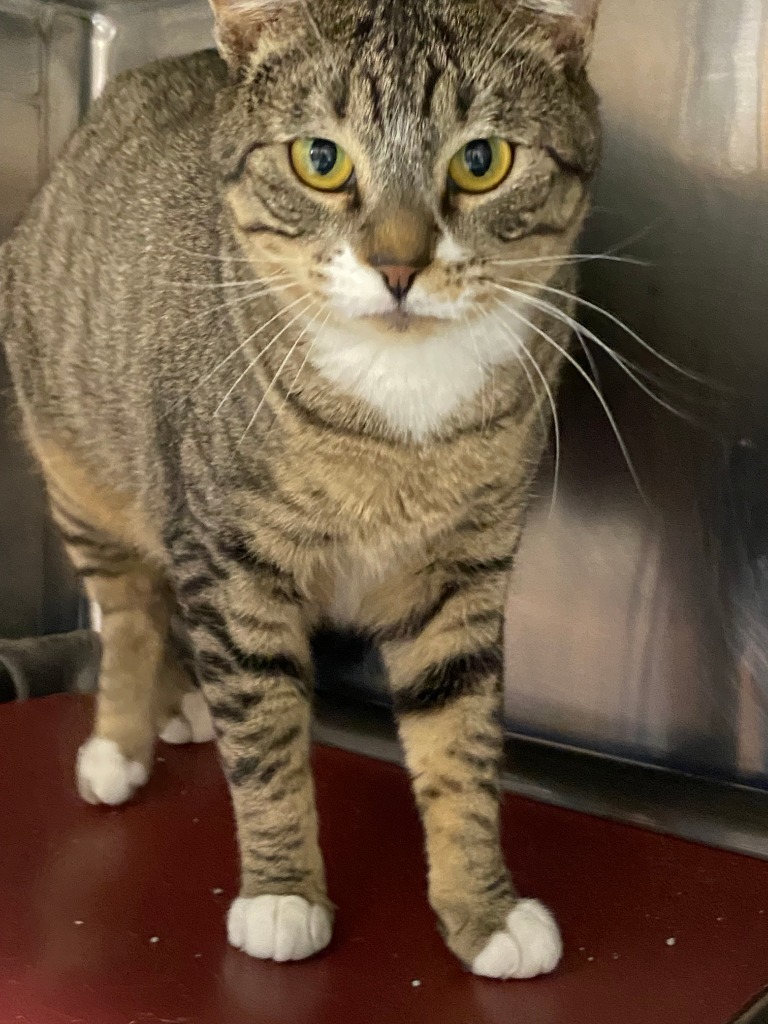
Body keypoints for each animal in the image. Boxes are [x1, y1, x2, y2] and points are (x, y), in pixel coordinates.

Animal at [0, 0, 602, 978]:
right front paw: (283, 894)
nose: (398, 266)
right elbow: (266, 737)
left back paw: (175, 703)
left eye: (481, 161)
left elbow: (460, 742)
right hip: (84, 471)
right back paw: (122, 742)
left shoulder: (461, 576)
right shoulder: (233, 561)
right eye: (321, 159)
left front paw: (481, 908)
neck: (398, 406)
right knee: (130, 613)